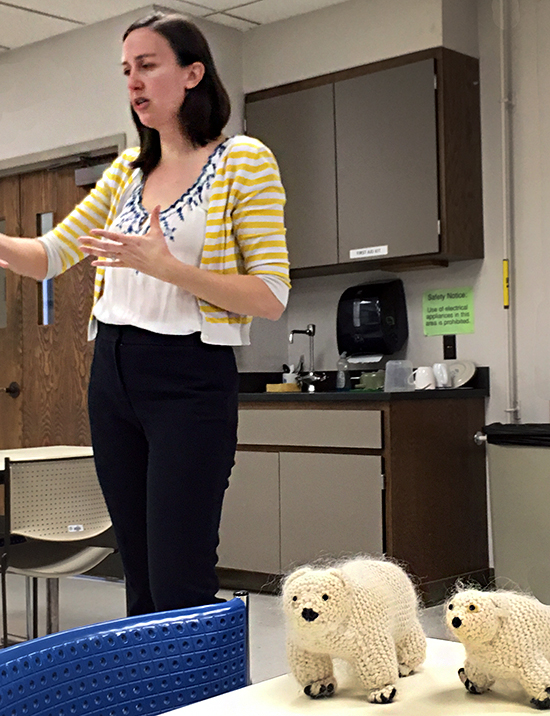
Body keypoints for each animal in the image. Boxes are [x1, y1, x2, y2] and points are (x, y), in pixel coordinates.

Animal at [282, 556, 430, 704]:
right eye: (294, 598)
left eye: (325, 596)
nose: (308, 612)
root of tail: (389, 564)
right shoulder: (306, 642)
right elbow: (312, 663)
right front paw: (320, 685)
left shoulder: (365, 634)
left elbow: (376, 661)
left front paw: (382, 691)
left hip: (404, 618)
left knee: (410, 639)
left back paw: (404, 666)